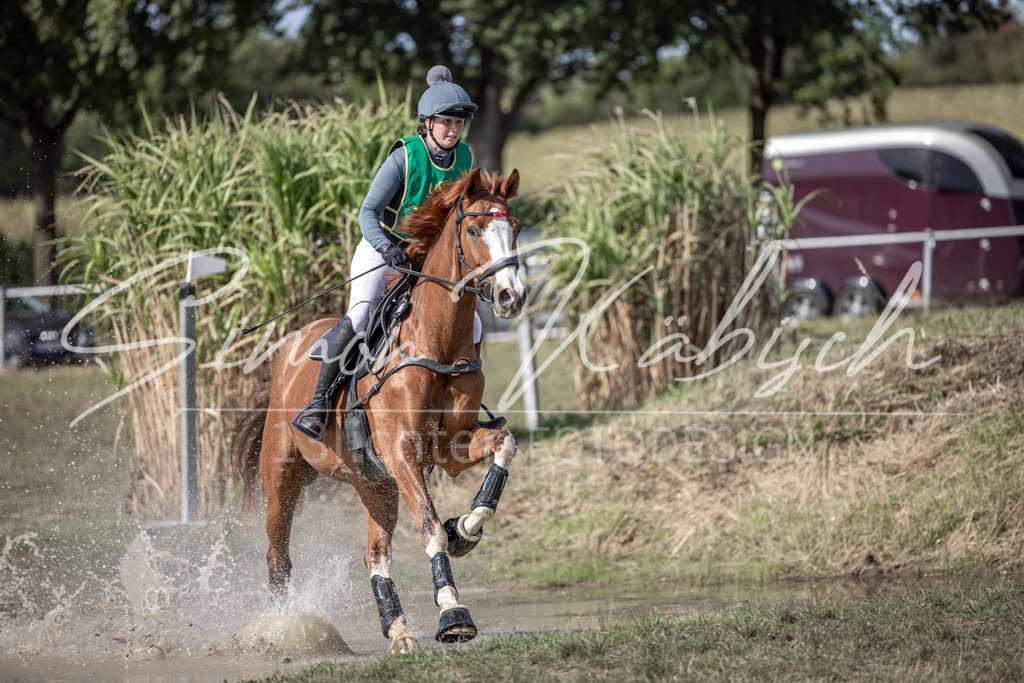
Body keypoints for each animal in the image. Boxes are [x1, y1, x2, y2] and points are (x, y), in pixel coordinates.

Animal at [232, 167, 526, 655]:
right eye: (473, 231)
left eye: (516, 228)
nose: (511, 296)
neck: (436, 343)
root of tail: (289, 346)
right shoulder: (401, 451)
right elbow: (429, 526)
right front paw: (453, 613)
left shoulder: (450, 447)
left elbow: (504, 446)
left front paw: (465, 529)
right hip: (281, 478)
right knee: (278, 554)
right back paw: (283, 626)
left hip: (376, 486)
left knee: (375, 554)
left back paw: (399, 631)